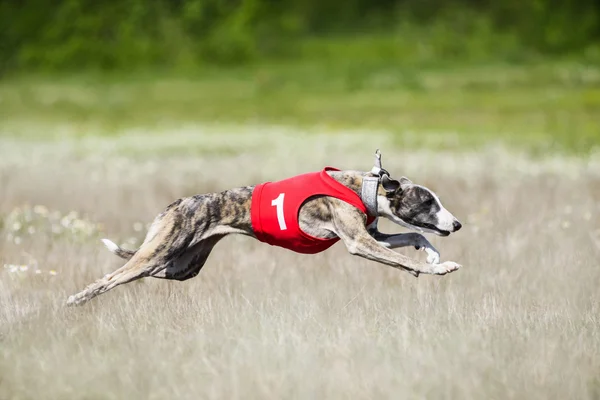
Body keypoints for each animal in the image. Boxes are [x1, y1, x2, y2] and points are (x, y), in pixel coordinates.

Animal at [65, 150, 462, 306]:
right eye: (428, 202)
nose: (457, 224)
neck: (361, 186)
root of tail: (176, 204)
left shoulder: (374, 235)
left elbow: (414, 234)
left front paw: (433, 254)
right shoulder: (359, 242)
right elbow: (406, 259)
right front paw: (437, 267)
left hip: (181, 265)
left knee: (148, 272)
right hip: (158, 254)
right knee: (111, 278)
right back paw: (73, 301)